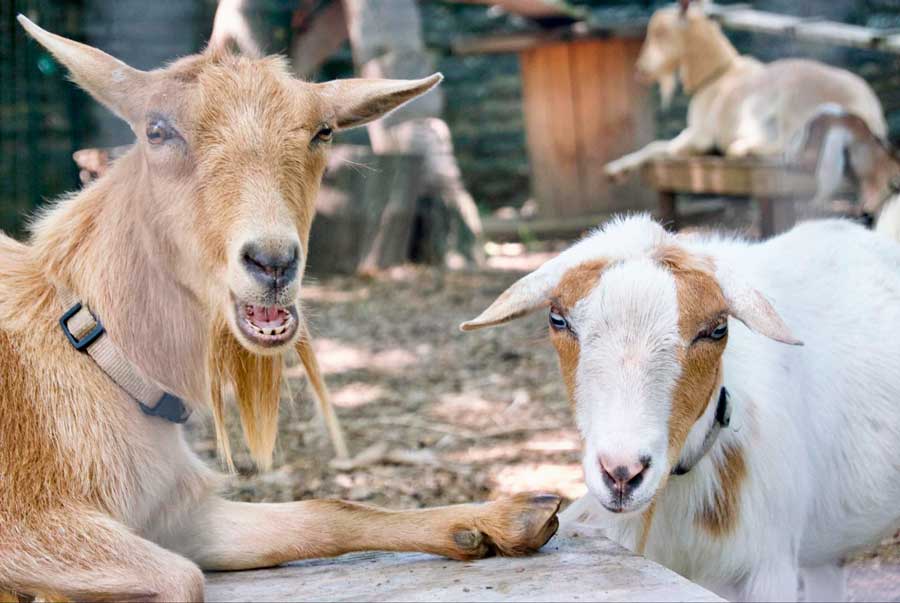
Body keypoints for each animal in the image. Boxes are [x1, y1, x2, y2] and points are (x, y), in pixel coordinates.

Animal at [0, 17, 560, 602]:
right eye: (156, 129)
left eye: (324, 131)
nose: (272, 263)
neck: (99, 353)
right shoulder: (26, 526)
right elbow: (183, 577)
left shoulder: (176, 517)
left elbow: (326, 511)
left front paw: (504, 520)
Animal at [604, 0, 886, 181]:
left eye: (659, 32)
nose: (640, 69)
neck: (717, 76)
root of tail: (866, 112)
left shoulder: (699, 134)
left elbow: (659, 146)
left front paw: (616, 169)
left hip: (793, 105)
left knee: (787, 149)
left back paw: (742, 148)